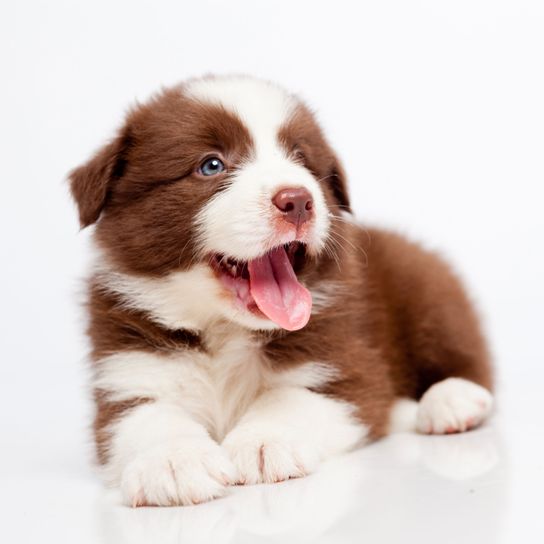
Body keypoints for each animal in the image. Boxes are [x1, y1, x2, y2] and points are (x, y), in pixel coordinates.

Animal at [68, 74, 492, 508]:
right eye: (211, 165)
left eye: (302, 160)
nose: (298, 200)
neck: (225, 329)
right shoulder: (127, 369)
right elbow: (144, 418)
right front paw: (173, 461)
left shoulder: (345, 362)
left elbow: (293, 397)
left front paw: (263, 441)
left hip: (429, 289)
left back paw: (452, 401)